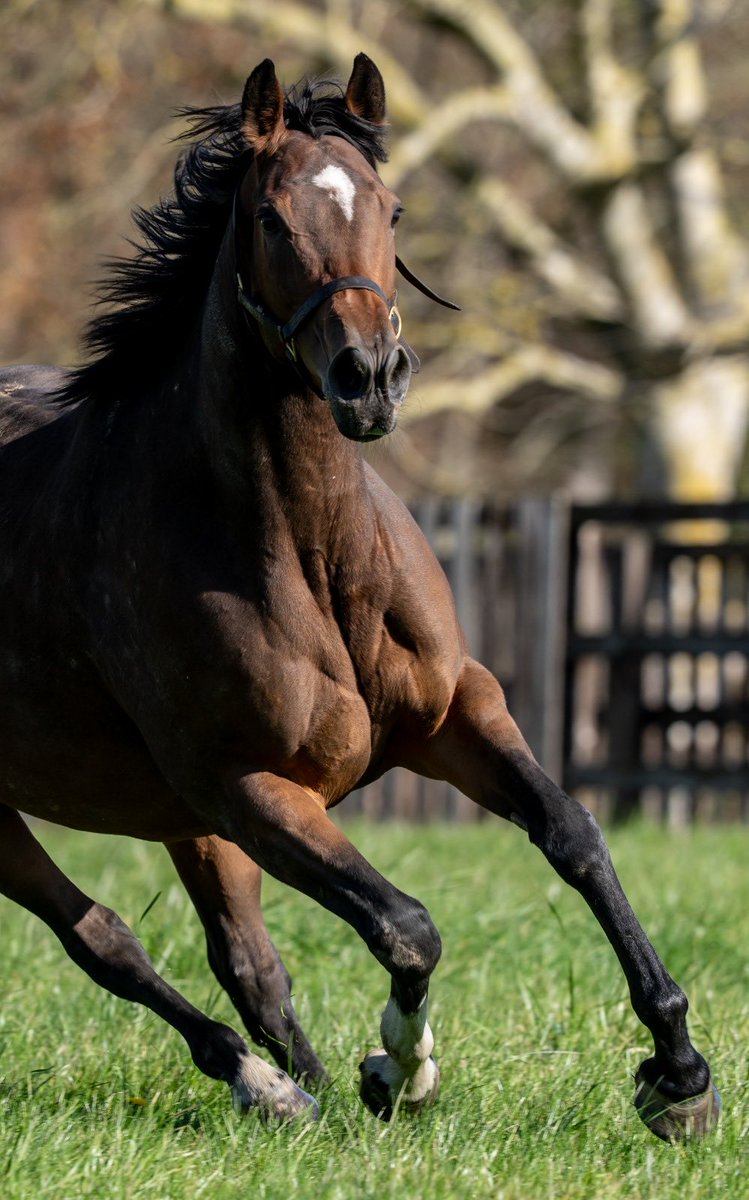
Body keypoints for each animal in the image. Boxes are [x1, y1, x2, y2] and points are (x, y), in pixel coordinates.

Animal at [0, 54, 719, 1140]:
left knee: (247, 964)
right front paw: (400, 1068)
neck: (312, 556)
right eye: (268, 217)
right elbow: (405, 926)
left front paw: (677, 1074)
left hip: (180, 820)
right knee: (108, 942)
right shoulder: (250, 789)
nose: (368, 377)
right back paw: (269, 1085)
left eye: (391, 207)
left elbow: (573, 837)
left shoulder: (457, 710)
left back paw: (304, 1088)